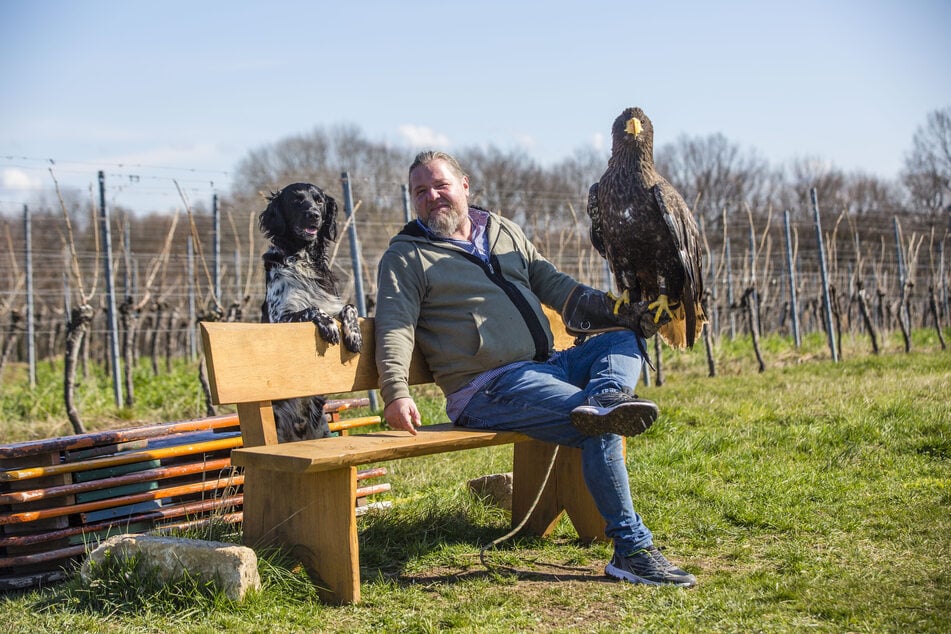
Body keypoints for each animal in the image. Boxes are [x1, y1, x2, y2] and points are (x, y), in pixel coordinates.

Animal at [258, 183, 362, 440]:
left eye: (319, 201)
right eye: (296, 201)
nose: (314, 215)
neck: (302, 257)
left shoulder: (333, 301)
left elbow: (350, 306)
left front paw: (354, 335)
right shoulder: (279, 318)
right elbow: (311, 308)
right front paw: (329, 326)